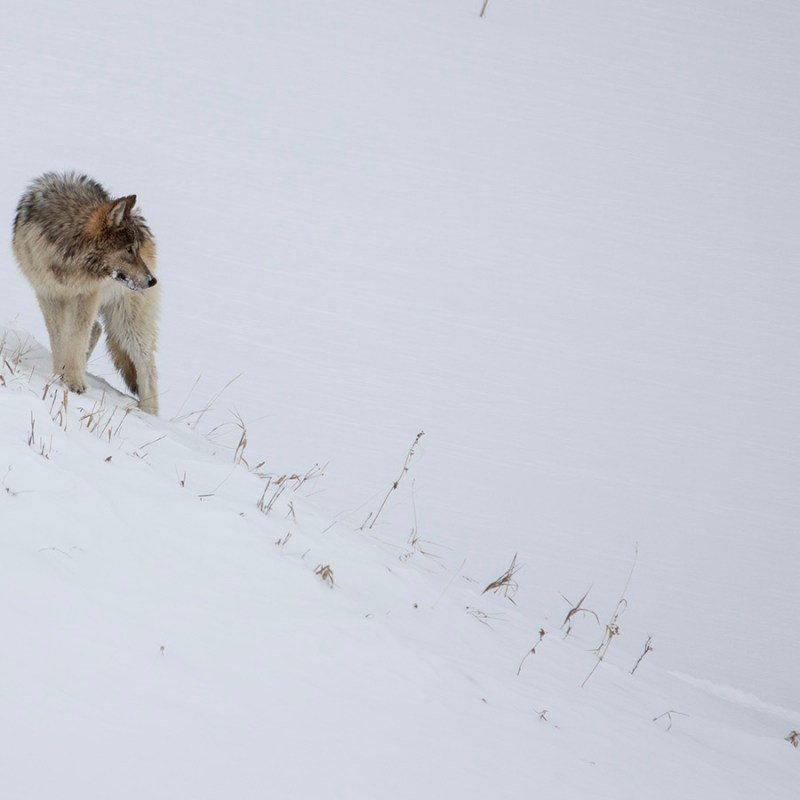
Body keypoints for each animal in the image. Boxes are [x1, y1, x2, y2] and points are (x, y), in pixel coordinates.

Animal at [12, 172, 160, 414]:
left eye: (136, 250)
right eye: (129, 250)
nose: (151, 281)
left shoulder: (87, 294)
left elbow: (77, 337)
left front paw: (74, 381)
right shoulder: (48, 294)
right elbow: (60, 339)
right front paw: (60, 376)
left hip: (128, 323)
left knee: (146, 364)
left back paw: (149, 414)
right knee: (97, 328)